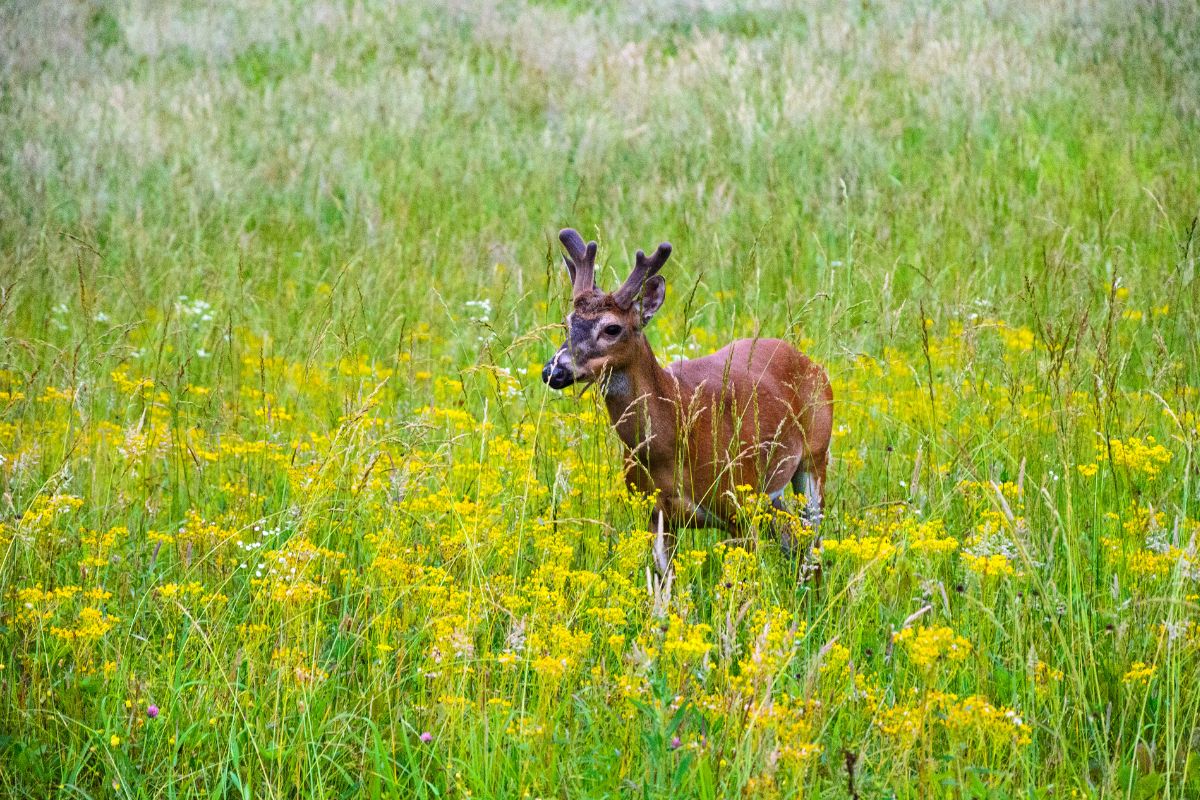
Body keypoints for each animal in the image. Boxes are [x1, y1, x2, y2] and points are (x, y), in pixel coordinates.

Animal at [544, 226, 835, 575]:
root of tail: (810, 362)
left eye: (612, 328)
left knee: (813, 541)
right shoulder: (655, 514)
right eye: (567, 322)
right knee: (792, 536)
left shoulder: (739, 503)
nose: (553, 370)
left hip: (814, 456)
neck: (674, 436)